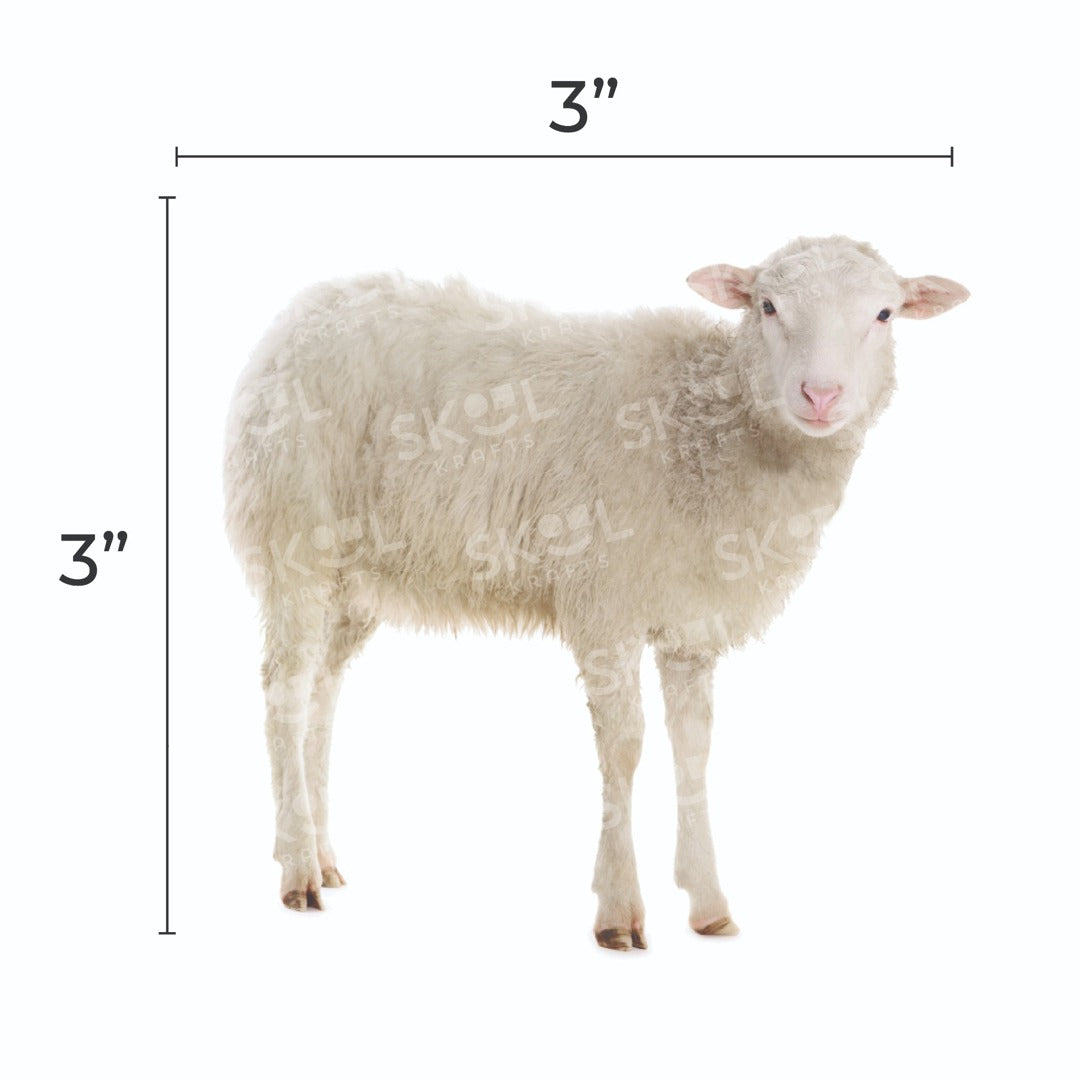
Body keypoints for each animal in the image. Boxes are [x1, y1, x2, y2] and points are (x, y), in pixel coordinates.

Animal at [223, 235, 968, 949]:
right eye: (767, 306)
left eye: (884, 314)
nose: (821, 396)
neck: (709, 428)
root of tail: (301, 313)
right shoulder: (606, 602)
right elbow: (626, 748)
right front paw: (619, 912)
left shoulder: (691, 624)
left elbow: (693, 750)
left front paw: (709, 904)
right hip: (295, 536)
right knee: (284, 696)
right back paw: (296, 871)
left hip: (355, 576)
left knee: (321, 695)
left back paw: (320, 855)